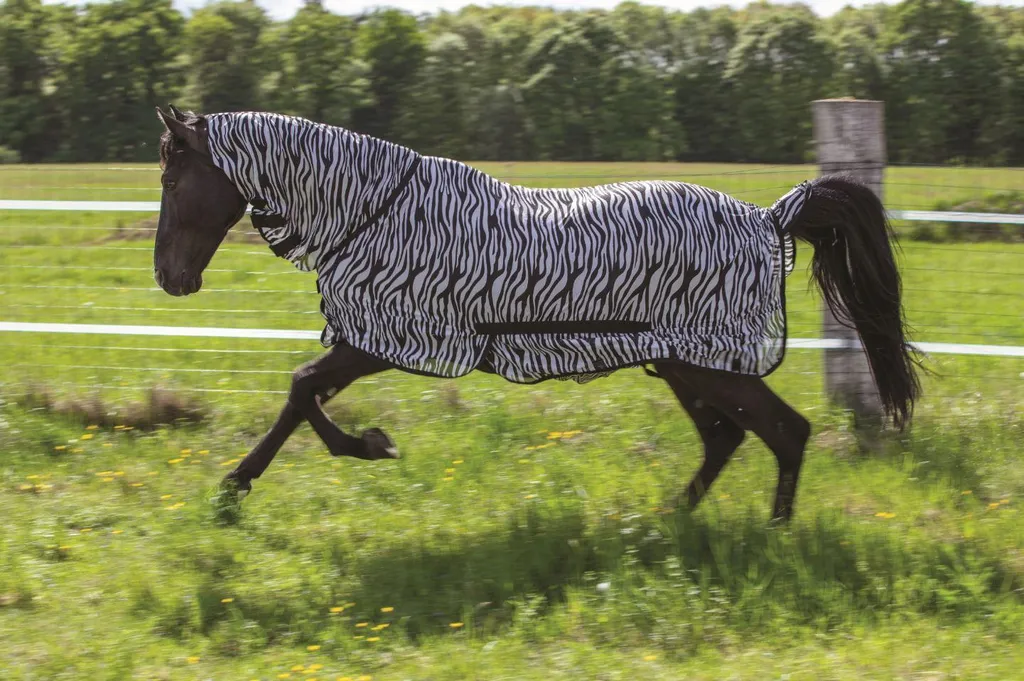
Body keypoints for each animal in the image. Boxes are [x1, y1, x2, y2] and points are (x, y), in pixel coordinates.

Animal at [153, 105, 919, 522]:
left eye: (173, 177)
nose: (170, 276)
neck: (373, 213)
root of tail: (770, 218)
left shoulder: (381, 341)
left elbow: (302, 389)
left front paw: (363, 447)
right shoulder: (367, 340)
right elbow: (302, 395)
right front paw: (240, 485)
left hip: (711, 365)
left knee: (784, 432)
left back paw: (771, 534)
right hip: (683, 365)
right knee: (727, 438)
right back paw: (669, 520)